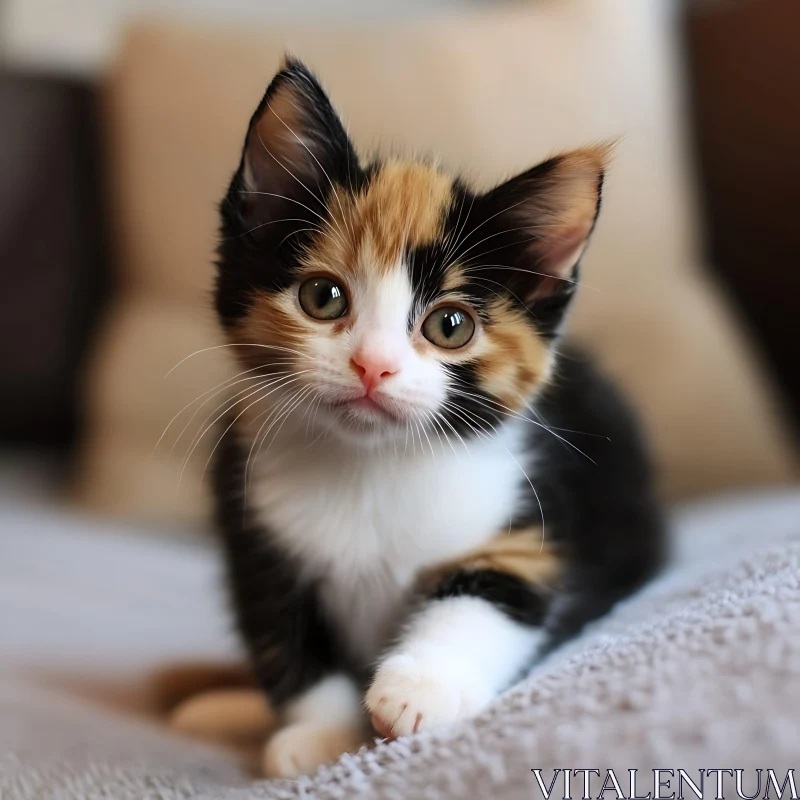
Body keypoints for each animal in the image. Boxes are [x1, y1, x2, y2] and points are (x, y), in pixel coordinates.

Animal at [211, 59, 664, 780]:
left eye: (450, 326)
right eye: (322, 296)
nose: (373, 366)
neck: (371, 467)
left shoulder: (526, 520)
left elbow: (490, 598)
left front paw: (420, 687)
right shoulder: (253, 530)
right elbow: (288, 642)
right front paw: (319, 735)